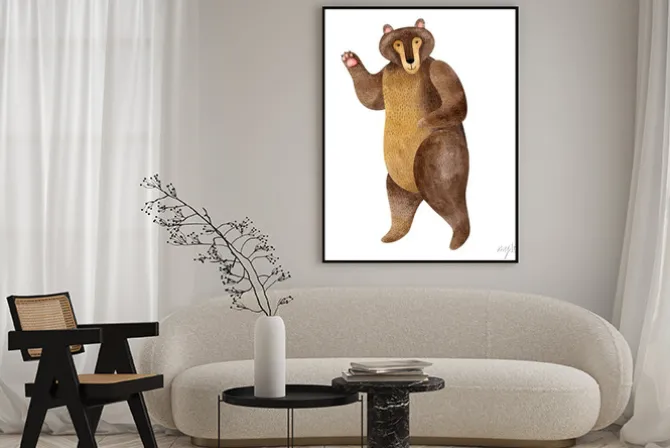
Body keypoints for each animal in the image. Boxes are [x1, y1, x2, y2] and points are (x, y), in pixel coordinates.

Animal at [341, 18, 470, 250]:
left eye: (417, 40)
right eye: (398, 44)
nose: (410, 60)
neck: (404, 71)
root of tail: (419, 193)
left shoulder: (437, 66)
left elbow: (457, 101)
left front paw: (425, 121)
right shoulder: (385, 73)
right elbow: (370, 96)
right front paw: (351, 60)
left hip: (440, 154)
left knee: (441, 176)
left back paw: (458, 235)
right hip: (397, 183)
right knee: (398, 201)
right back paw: (393, 233)